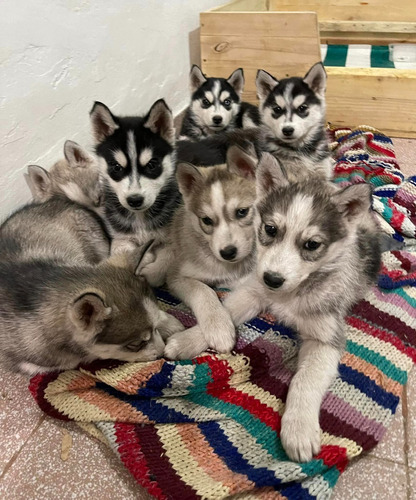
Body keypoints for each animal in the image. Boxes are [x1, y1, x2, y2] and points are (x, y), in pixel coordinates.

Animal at [161, 146, 258, 362]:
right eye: (206, 220)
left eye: (242, 212)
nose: (228, 252)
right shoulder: (177, 276)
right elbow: (203, 290)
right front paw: (218, 325)